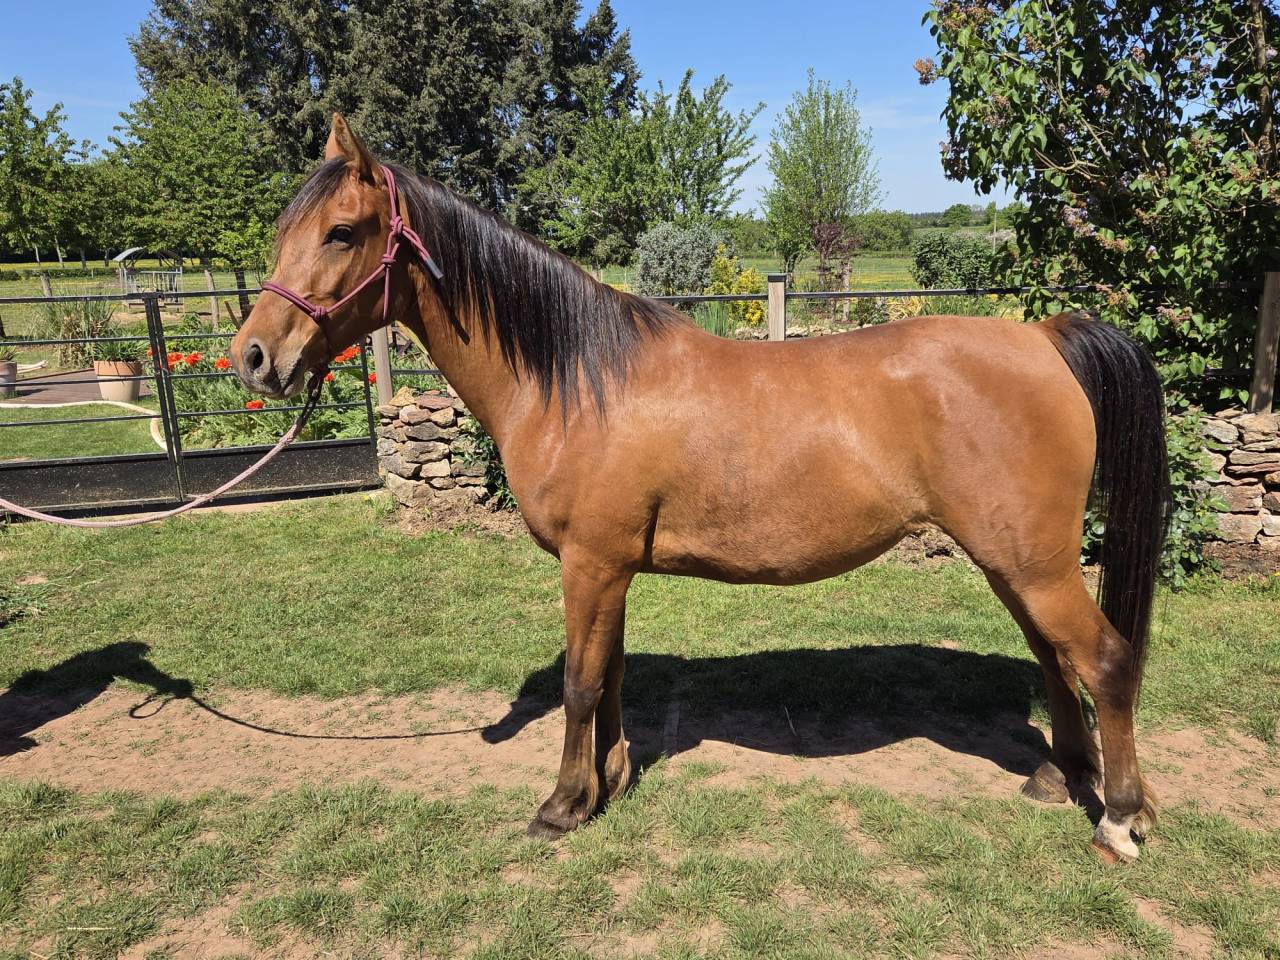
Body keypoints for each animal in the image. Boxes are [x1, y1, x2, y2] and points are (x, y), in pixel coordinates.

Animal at [230, 114, 1170, 863]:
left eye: (342, 232)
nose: (253, 358)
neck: (579, 379)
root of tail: (1044, 339)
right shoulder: (608, 569)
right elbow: (609, 675)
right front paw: (608, 782)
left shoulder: (590, 563)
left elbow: (580, 682)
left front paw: (562, 806)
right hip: (1014, 564)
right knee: (1055, 657)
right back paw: (1058, 777)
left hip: (1031, 562)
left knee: (1106, 659)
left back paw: (1119, 819)